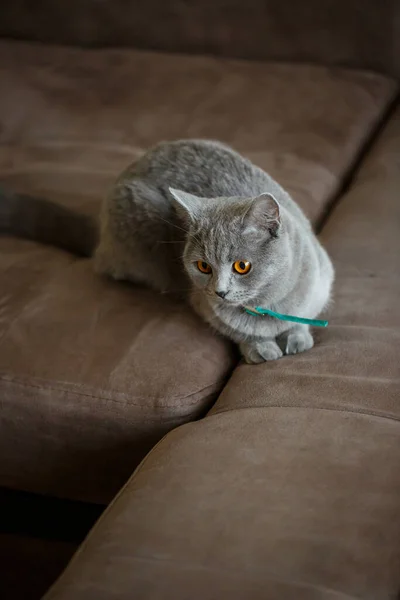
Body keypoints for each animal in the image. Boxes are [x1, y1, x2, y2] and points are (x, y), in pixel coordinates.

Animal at [0, 141, 332, 364]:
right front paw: (261, 347)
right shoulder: (204, 306)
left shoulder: (321, 282)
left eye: (241, 266)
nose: (219, 292)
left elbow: (302, 318)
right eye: (203, 266)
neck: (267, 307)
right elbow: (239, 332)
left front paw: (298, 338)